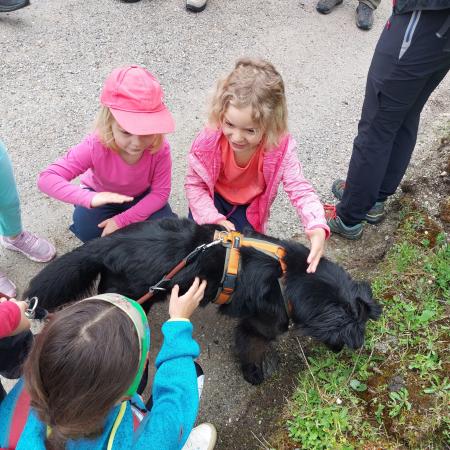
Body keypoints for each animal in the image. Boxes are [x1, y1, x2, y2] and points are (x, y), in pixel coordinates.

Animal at [24, 217, 382, 384]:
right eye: (345, 338)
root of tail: (109, 243)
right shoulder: (258, 326)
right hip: (136, 298)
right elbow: (252, 348)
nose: (344, 352)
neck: (289, 278)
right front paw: (253, 374)